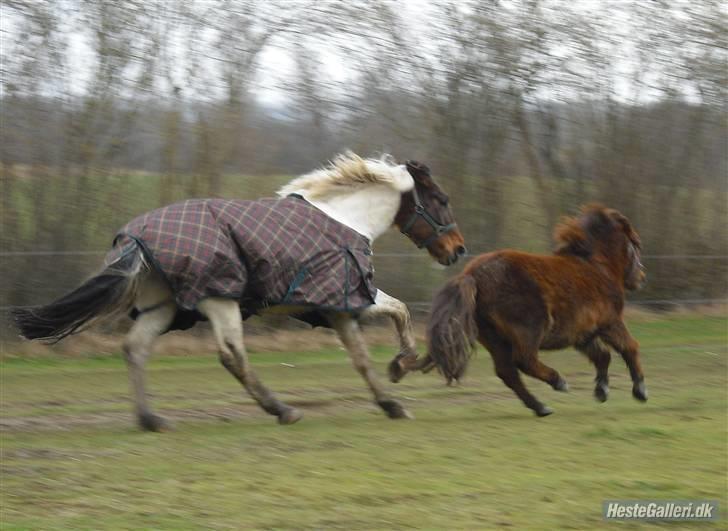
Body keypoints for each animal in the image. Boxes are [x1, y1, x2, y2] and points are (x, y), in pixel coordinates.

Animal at [12, 154, 466, 432]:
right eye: (442, 199)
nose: (458, 250)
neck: (347, 218)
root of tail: (136, 235)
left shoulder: (336, 309)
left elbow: (360, 358)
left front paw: (391, 402)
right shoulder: (352, 298)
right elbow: (399, 311)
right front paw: (405, 364)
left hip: (163, 306)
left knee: (135, 348)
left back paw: (151, 419)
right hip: (220, 301)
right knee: (232, 355)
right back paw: (282, 410)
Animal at [424, 206, 644, 418]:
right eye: (634, 243)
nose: (641, 276)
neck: (597, 267)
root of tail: (472, 276)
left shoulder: (583, 334)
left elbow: (602, 356)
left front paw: (602, 390)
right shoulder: (610, 322)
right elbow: (629, 347)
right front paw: (640, 390)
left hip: (494, 338)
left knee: (508, 372)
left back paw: (541, 407)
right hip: (528, 329)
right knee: (525, 361)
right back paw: (558, 382)